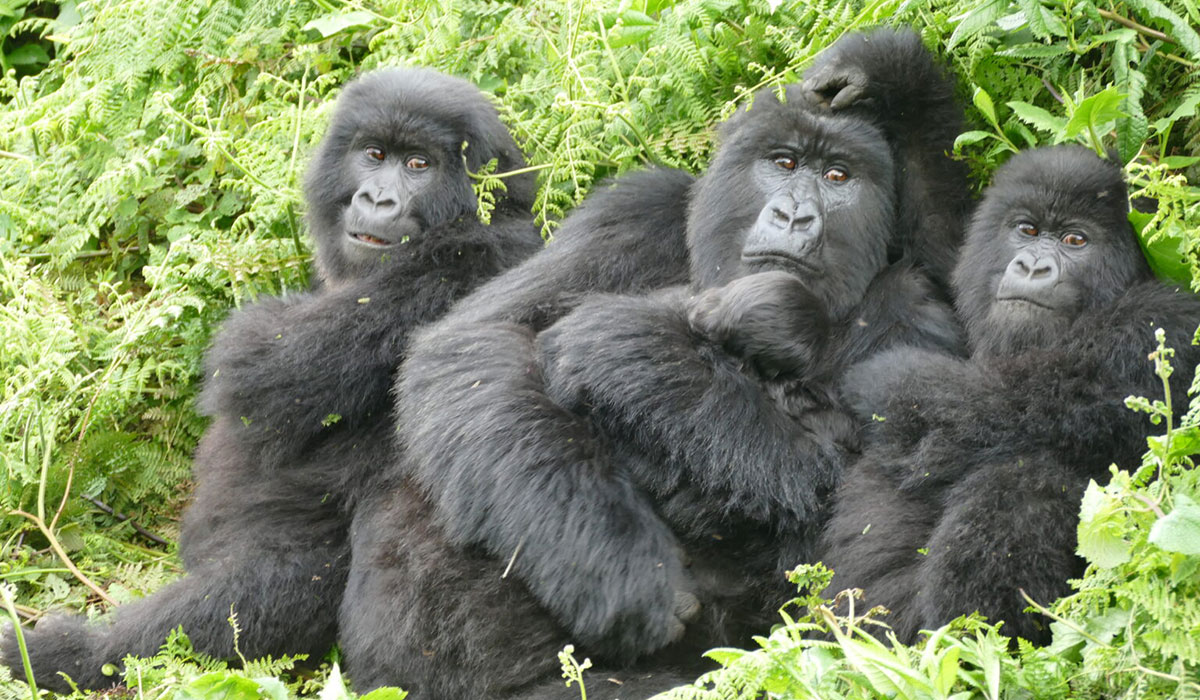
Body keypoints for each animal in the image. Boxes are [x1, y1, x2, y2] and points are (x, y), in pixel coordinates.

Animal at [0, 68, 544, 691]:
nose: (377, 199)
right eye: (374, 155)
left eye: (418, 165)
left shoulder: (463, 264)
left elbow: (256, 366)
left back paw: (71, 655)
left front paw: (76, 652)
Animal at [336, 28, 964, 700]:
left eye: (838, 176)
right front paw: (615, 568)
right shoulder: (641, 210)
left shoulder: (914, 302)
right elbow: (477, 341)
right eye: (784, 164)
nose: (795, 216)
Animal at [820, 146, 1200, 648]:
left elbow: (991, 405)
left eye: (1075, 240)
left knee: (1023, 475)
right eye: (1028, 231)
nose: (1032, 266)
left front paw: (877, 377)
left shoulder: (1162, 323)